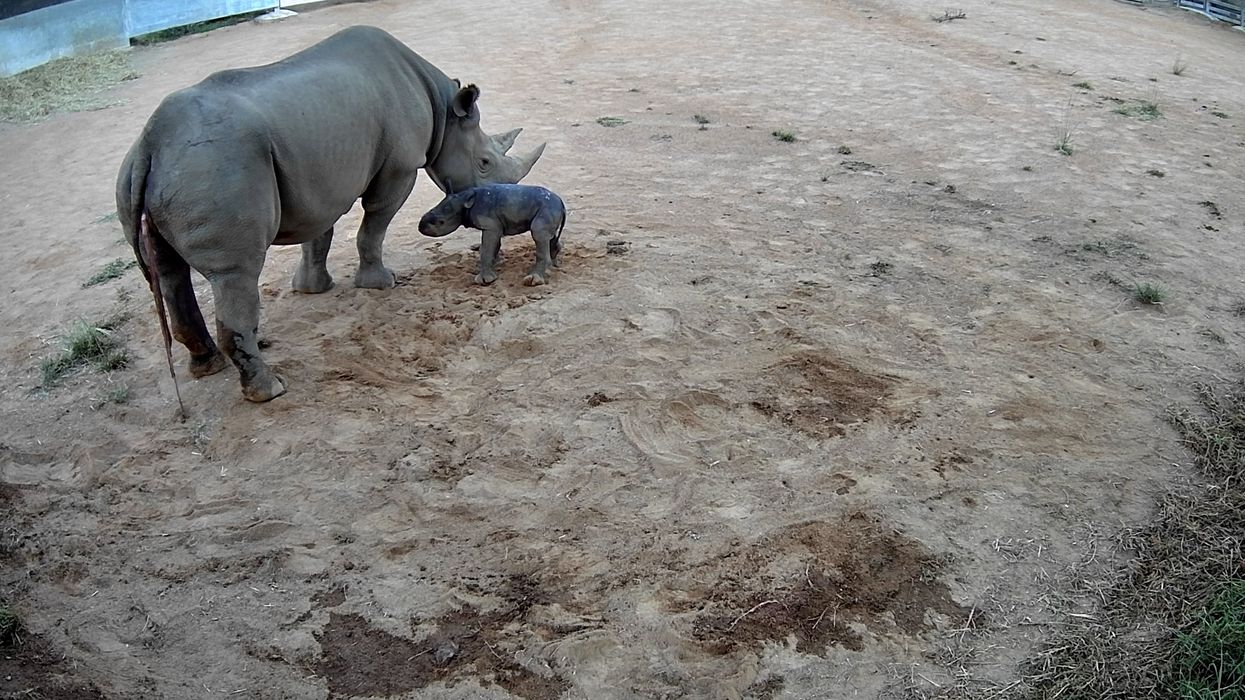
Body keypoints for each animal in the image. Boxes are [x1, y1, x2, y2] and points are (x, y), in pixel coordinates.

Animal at [116, 25, 545, 403]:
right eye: (485, 162)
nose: (498, 198)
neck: (442, 109)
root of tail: (152, 146)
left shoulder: (317, 180)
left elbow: (319, 233)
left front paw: (311, 288)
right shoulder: (399, 168)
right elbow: (374, 225)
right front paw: (381, 283)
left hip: (156, 173)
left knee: (168, 272)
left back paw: (208, 367)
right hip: (217, 168)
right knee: (235, 273)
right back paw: (270, 391)